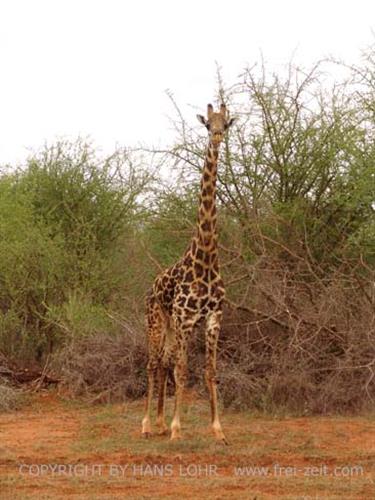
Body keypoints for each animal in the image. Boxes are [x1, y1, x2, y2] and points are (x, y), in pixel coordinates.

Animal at [142, 103, 235, 444]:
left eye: (227, 123)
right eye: (208, 124)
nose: (217, 136)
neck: (206, 259)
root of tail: (152, 285)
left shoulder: (213, 318)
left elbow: (209, 371)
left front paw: (218, 429)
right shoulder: (184, 319)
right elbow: (182, 370)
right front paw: (177, 428)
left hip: (171, 326)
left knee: (165, 361)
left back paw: (158, 421)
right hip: (156, 320)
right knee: (154, 362)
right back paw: (147, 424)